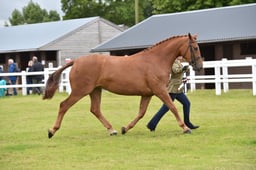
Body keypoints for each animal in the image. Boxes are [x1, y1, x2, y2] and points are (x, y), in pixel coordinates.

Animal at [43, 32, 203, 138]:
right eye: (195, 48)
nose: (199, 66)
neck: (155, 60)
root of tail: (76, 61)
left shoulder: (147, 94)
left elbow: (141, 113)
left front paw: (125, 128)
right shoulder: (160, 90)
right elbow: (172, 107)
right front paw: (185, 128)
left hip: (95, 90)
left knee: (95, 109)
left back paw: (112, 130)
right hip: (80, 91)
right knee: (64, 105)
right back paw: (51, 131)